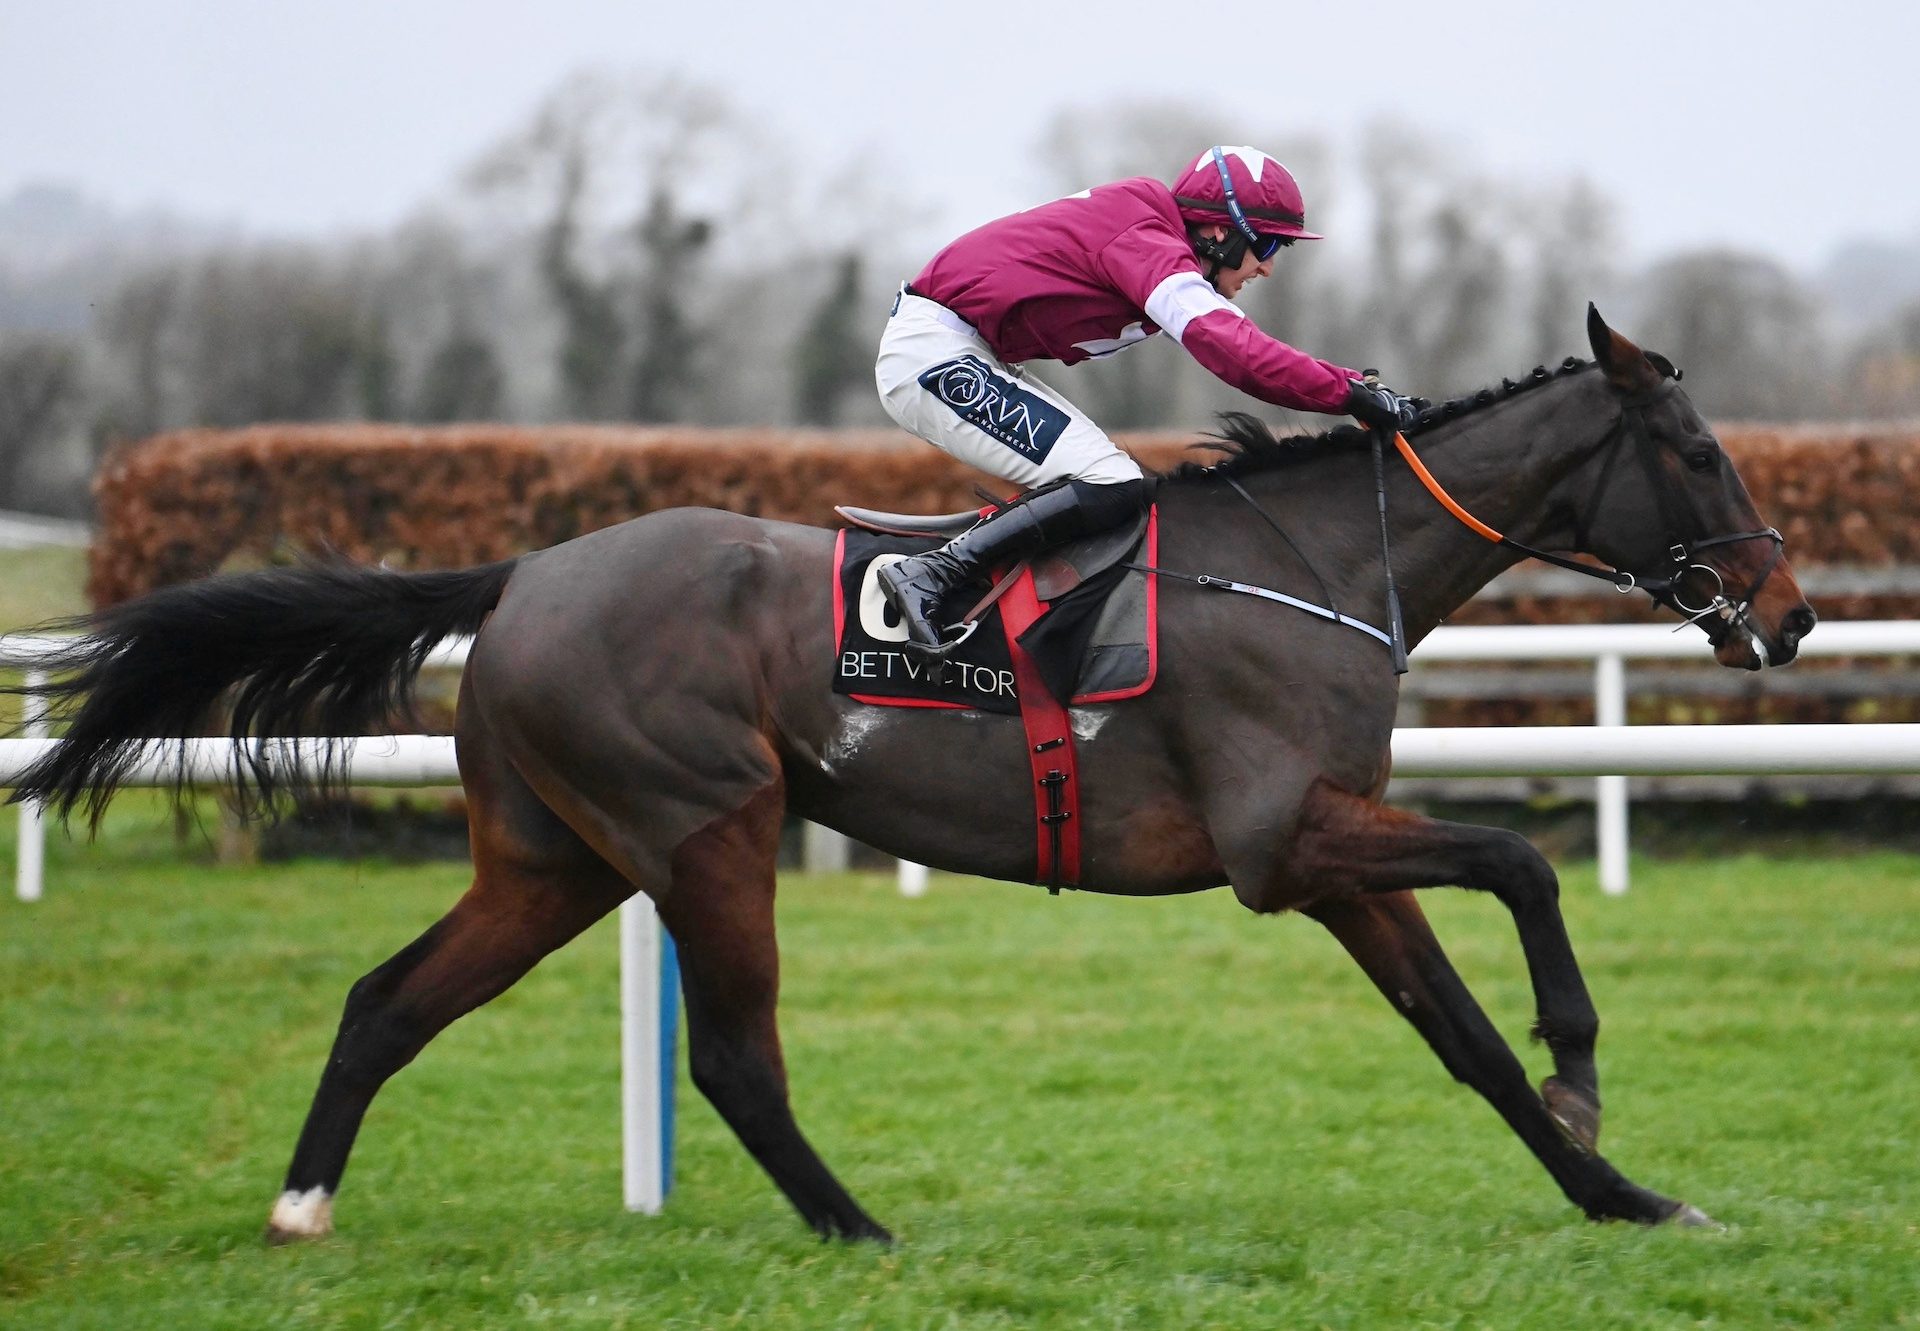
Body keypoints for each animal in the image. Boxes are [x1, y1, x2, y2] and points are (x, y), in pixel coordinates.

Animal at [11, 305, 1812, 1244]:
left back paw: (302, 1205)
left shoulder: (1331, 849)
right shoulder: (1282, 844)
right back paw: (858, 1229)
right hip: (704, 824)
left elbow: (1460, 1036)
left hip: (555, 857)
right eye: (1699, 452)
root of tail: (521, 572)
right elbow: (1522, 859)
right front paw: (1585, 1072)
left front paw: (1618, 1186)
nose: (1790, 614)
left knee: (386, 999)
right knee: (733, 1055)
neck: (1315, 561)